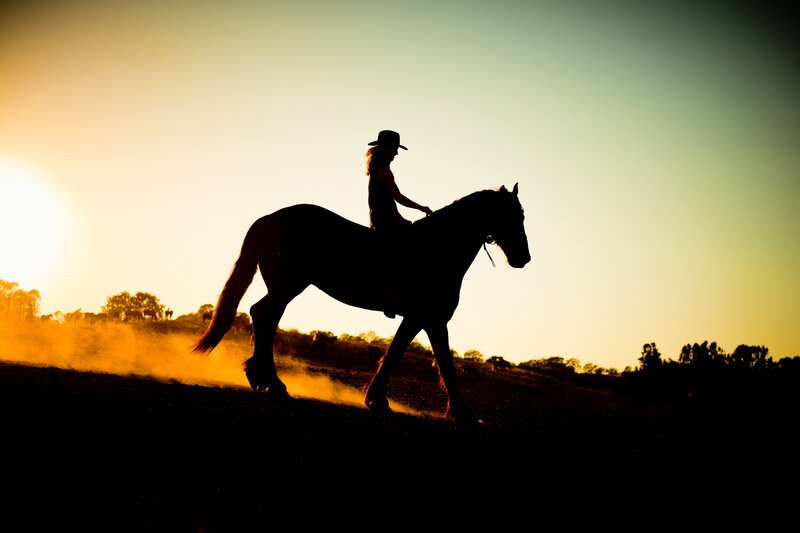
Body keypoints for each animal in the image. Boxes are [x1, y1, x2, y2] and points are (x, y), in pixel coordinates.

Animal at [192, 184, 531, 425]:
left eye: (522, 216)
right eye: (512, 216)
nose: (523, 258)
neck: (437, 249)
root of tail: (270, 218)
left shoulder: (421, 319)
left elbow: (397, 353)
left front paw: (377, 400)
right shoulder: (430, 318)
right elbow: (442, 364)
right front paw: (462, 414)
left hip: (285, 286)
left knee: (265, 317)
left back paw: (260, 379)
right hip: (290, 285)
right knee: (264, 316)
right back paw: (272, 384)